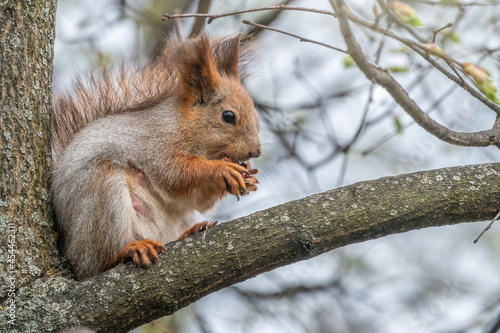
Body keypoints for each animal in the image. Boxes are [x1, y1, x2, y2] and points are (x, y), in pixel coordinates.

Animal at [50, 33, 262, 278]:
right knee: (99, 262)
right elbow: (175, 174)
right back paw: (130, 250)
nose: (256, 151)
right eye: (228, 116)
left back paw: (191, 231)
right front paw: (223, 168)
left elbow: (199, 200)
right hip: (99, 194)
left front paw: (248, 177)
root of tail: (71, 253)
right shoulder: (156, 146)